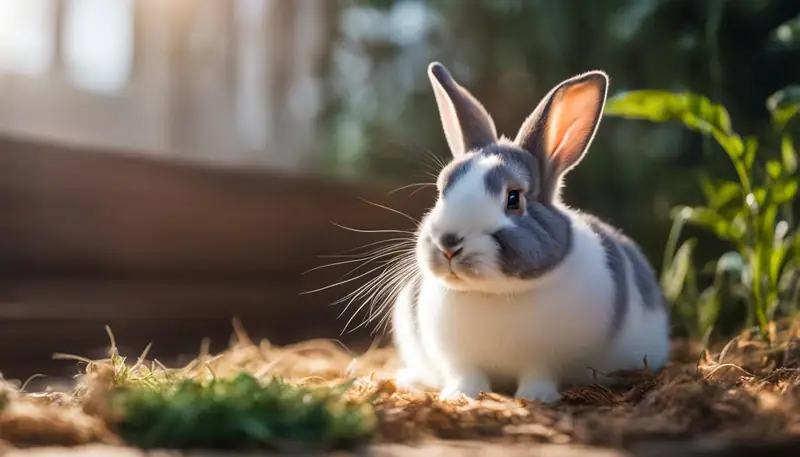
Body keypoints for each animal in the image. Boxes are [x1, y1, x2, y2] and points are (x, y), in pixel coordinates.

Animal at [390, 62, 671, 403]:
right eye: (442, 190)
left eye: (514, 199)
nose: (448, 244)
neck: (495, 293)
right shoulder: (459, 361)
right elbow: (467, 376)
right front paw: (459, 396)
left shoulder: (547, 361)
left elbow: (539, 376)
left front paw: (535, 398)